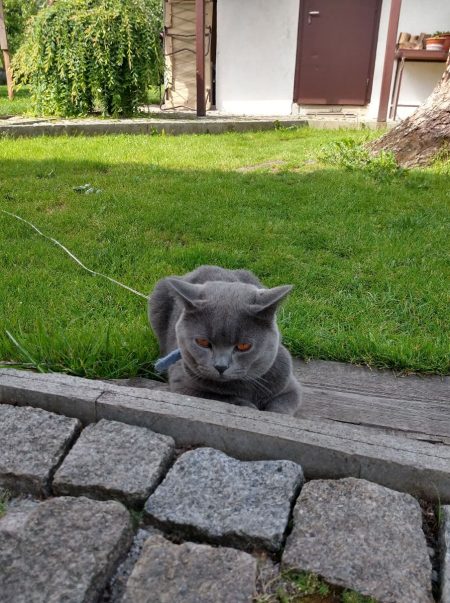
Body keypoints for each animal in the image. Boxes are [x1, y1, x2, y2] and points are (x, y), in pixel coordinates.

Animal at [148, 265, 301, 415]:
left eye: (244, 346)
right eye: (203, 342)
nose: (220, 366)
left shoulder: (290, 386)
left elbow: (281, 408)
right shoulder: (182, 384)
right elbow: (219, 397)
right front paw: (247, 405)